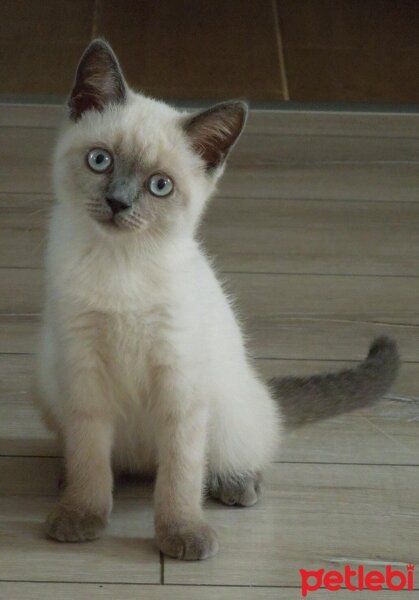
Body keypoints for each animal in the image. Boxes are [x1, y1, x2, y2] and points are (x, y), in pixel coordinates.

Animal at [33, 39, 400, 560]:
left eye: (159, 186)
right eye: (100, 161)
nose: (119, 203)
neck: (121, 263)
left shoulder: (180, 378)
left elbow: (182, 474)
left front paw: (182, 535)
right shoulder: (83, 369)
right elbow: (90, 455)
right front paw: (81, 516)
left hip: (225, 409)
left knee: (234, 451)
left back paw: (237, 486)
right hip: (48, 379)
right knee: (106, 461)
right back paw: (70, 479)